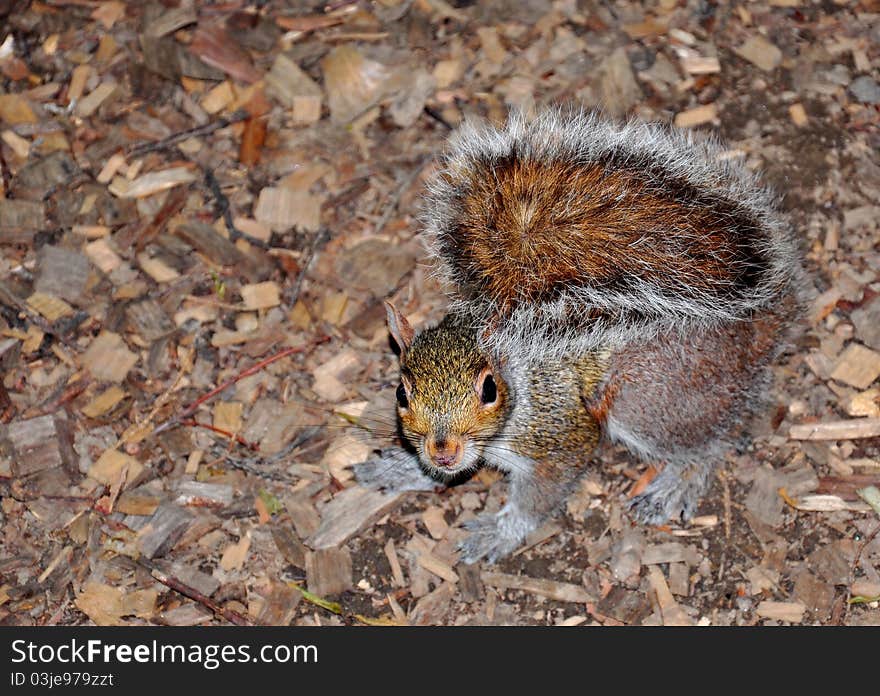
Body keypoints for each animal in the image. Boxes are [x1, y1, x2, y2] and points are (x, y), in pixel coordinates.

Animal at [354, 109, 808, 564]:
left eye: (488, 390)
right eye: (401, 394)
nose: (443, 450)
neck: (519, 383)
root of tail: (762, 322)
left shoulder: (561, 437)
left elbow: (539, 495)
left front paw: (499, 532)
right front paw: (398, 468)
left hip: (647, 400)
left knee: (712, 442)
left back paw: (676, 483)